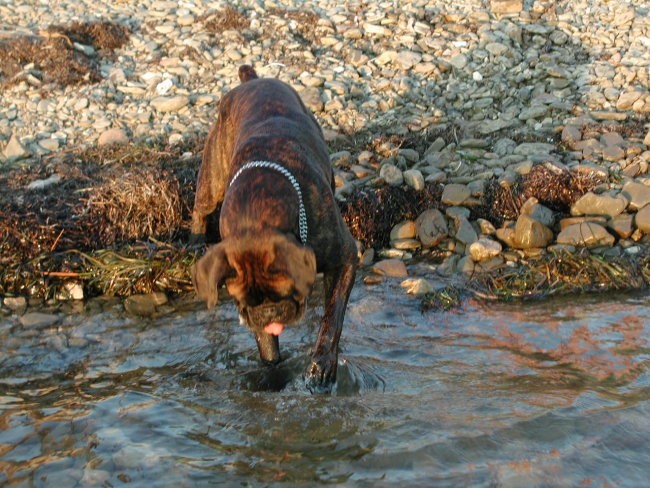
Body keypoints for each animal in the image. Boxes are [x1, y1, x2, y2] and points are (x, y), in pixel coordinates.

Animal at [190, 65, 356, 392]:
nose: (268, 313)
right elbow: (266, 346)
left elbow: (333, 317)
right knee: (199, 209)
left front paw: (321, 365)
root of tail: (251, 80)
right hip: (211, 182)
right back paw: (194, 238)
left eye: (284, 292)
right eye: (242, 304)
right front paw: (272, 373)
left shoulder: (345, 257)